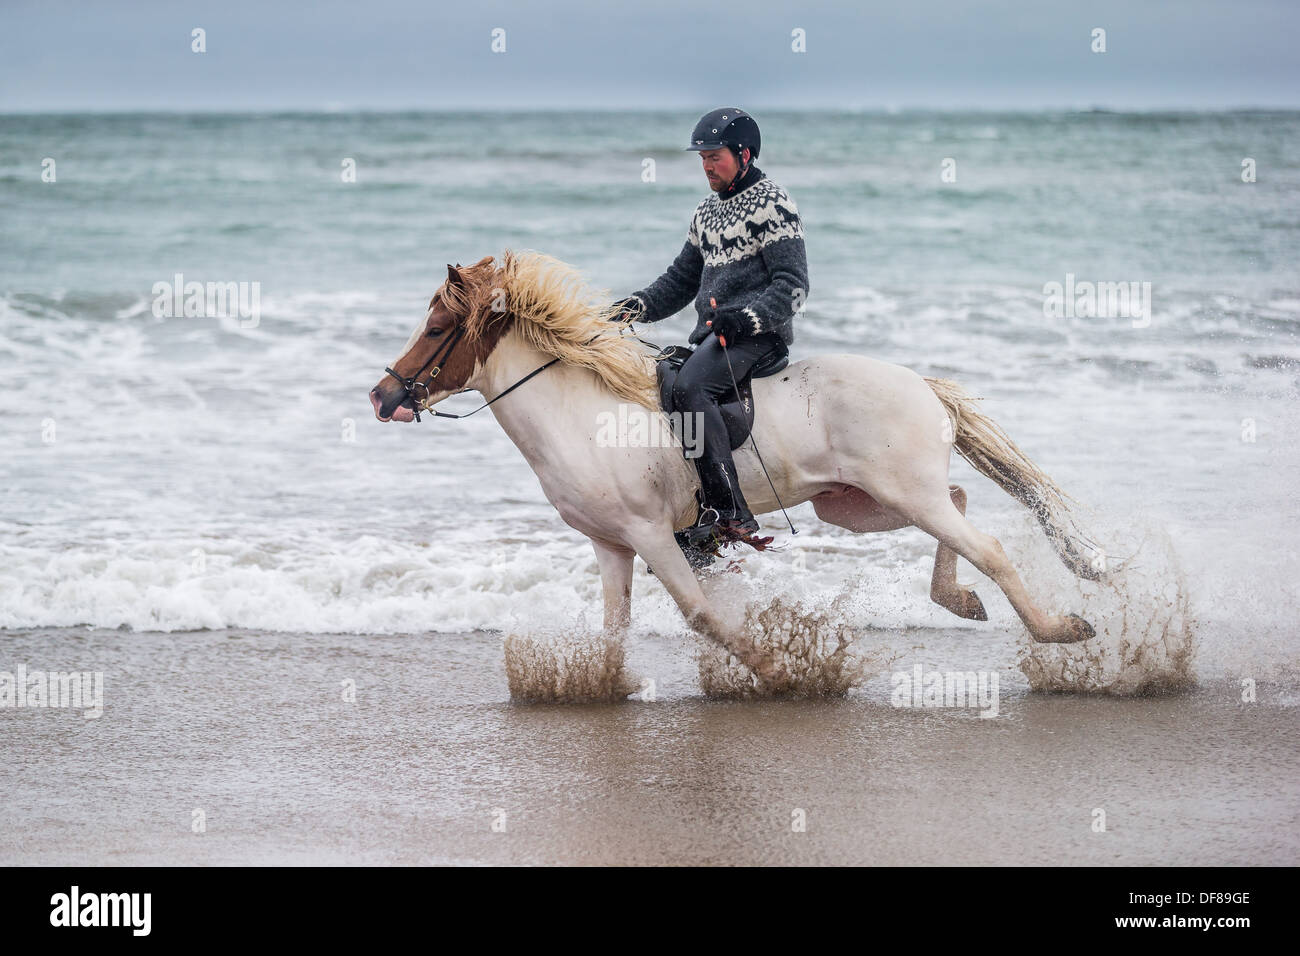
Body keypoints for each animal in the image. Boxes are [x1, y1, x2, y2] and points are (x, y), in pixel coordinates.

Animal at [371, 254, 1102, 686]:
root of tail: (921, 384)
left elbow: (701, 616)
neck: (580, 413)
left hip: (903, 493)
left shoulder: (652, 535)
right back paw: (961, 599)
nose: (382, 397)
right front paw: (604, 688)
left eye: (435, 328)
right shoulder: (611, 544)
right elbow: (614, 627)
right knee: (959, 502)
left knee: (991, 547)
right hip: (865, 502)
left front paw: (781, 670)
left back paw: (1061, 629)